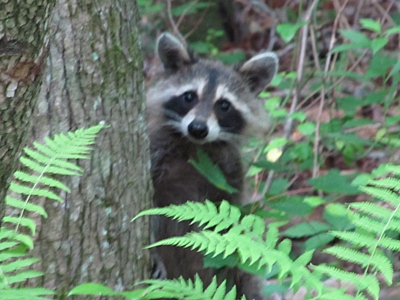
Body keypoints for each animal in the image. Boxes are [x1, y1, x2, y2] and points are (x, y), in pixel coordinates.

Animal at [147, 33, 278, 300]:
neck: (196, 147)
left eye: (223, 105)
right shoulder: (156, 156)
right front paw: (155, 254)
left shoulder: (229, 174)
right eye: (189, 97)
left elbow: (233, 217)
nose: (198, 128)